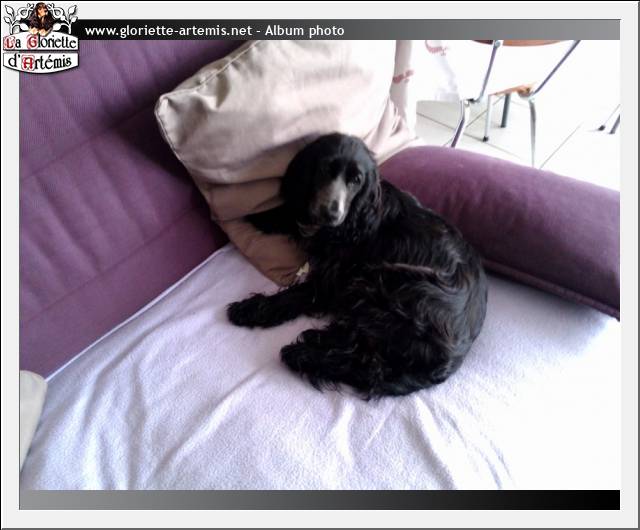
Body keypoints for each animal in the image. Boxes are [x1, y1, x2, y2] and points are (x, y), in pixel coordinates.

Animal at [227, 133, 488, 398]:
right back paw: (315, 340)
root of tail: (455, 357)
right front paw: (259, 216)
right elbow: (292, 216)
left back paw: (302, 354)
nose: (331, 214)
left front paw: (250, 309)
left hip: (388, 285)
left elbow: (295, 294)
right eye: (324, 169)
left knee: (368, 364)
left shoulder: (332, 280)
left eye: (356, 180)